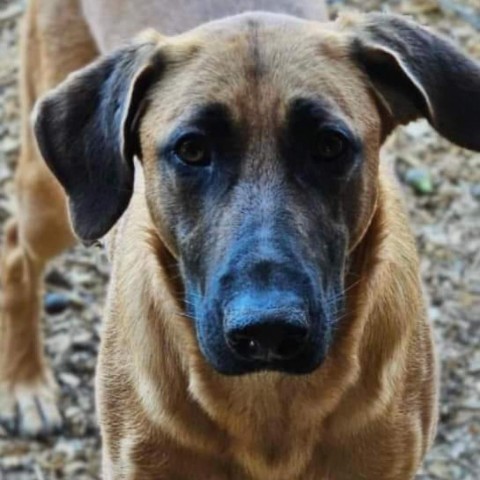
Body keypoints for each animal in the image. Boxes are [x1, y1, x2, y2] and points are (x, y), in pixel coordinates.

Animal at [0, 0, 480, 478]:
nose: (267, 331)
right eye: (191, 150)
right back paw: (25, 386)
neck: (271, 399)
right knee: (14, 251)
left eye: (329, 145)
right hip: (50, 203)